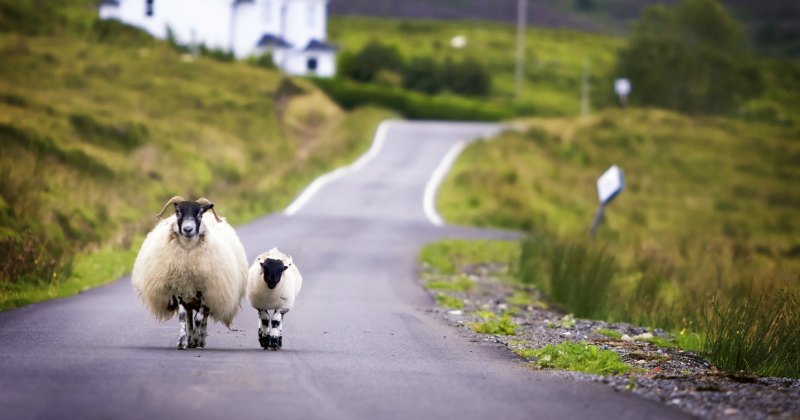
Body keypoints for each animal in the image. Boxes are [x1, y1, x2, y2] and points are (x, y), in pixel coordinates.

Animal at [131, 196, 248, 350]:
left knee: (203, 316)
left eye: (199, 214)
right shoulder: (179, 287)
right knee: (188, 315)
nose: (188, 229)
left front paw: (197, 339)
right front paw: (182, 341)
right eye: (177, 212)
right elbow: (183, 316)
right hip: (189, 295)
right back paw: (190, 337)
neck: (188, 255)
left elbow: (199, 318)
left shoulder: (205, 289)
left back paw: (200, 338)